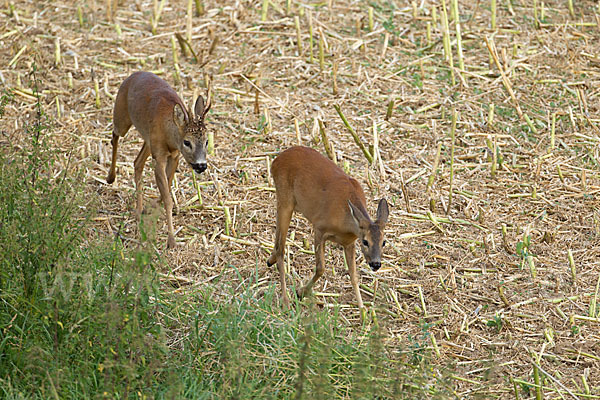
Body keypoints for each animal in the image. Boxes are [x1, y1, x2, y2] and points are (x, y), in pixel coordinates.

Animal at [105, 70, 211, 248]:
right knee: (114, 136)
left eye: (207, 141)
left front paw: (153, 206)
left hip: (148, 140)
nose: (201, 165)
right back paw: (110, 178)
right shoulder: (159, 156)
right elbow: (168, 198)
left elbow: (167, 185)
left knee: (137, 162)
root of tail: (133, 74)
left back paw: (139, 210)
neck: (170, 137)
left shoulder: (174, 156)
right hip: (122, 115)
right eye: (187, 142)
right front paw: (171, 240)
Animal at [268, 146, 390, 310]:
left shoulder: (349, 243)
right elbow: (321, 268)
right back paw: (286, 301)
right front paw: (301, 292)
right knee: (281, 248)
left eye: (384, 242)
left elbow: (354, 276)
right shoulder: (319, 228)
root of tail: (276, 160)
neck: (345, 222)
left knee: (277, 238)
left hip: (287, 202)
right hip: (285, 198)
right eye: (365, 242)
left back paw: (270, 260)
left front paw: (363, 310)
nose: (376, 264)